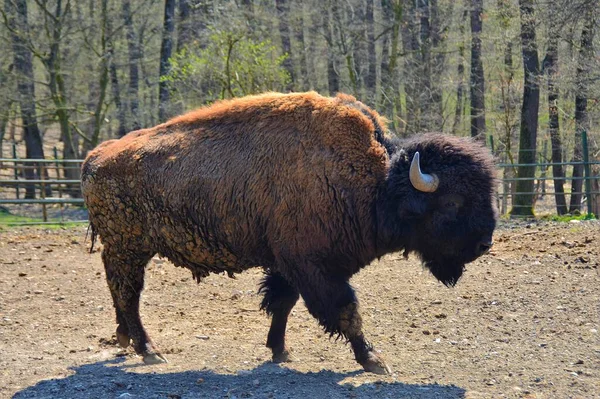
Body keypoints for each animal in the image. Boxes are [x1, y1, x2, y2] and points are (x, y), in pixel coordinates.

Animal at [83, 90, 496, 376]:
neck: (377, 184)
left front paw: (280, 351)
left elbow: (282, 303)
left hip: (126, 249)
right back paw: (149, 350)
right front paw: (374, 360)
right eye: (453, 202)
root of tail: (97, 156)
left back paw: (125, 340)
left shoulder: (288, 263)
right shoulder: (313, 265)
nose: (484, 243)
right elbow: (345, 310)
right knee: (128, 293)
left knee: (120, 291)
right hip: (129, 247)